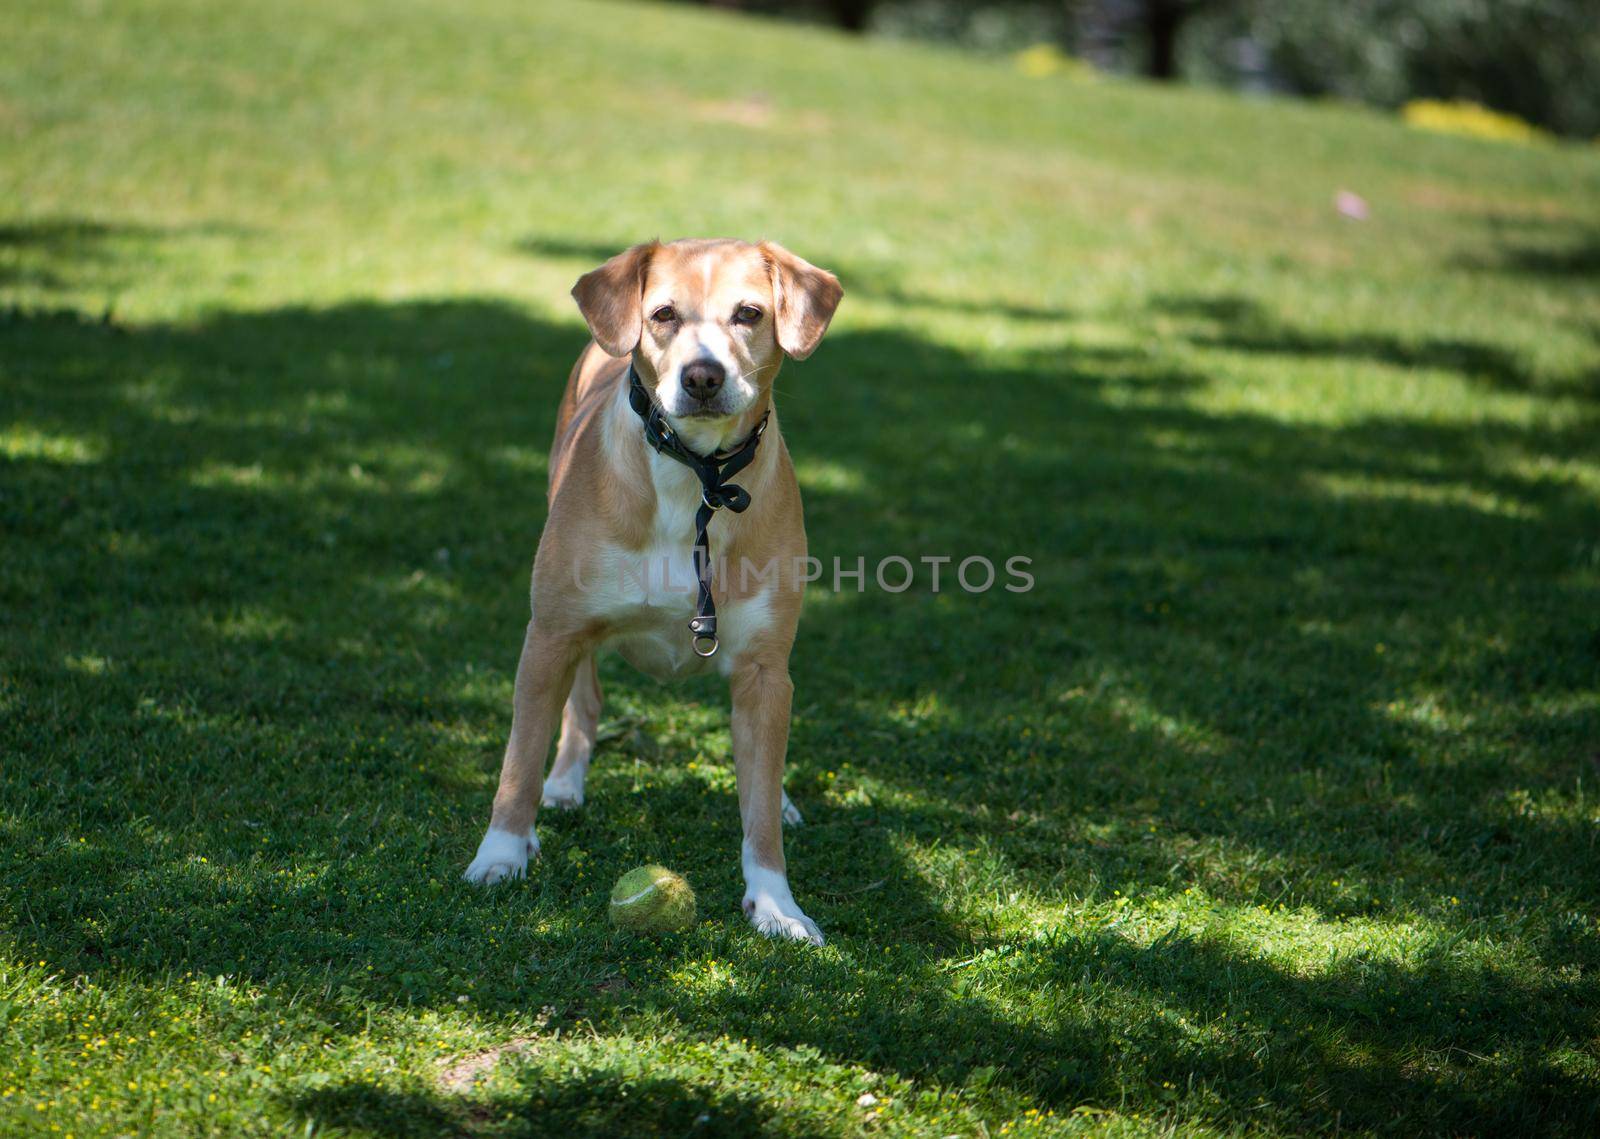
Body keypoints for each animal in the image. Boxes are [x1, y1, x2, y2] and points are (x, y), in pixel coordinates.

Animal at [464, 238, 844, 940]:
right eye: (663, 314)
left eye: (750, 313)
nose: (702, 377)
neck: (694, 479)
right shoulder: (551, 635)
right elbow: (518, 761)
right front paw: (501, 854)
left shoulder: (763, 668)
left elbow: (760, 812)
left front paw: (775, 903)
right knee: (582, 705)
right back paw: (564, 785)